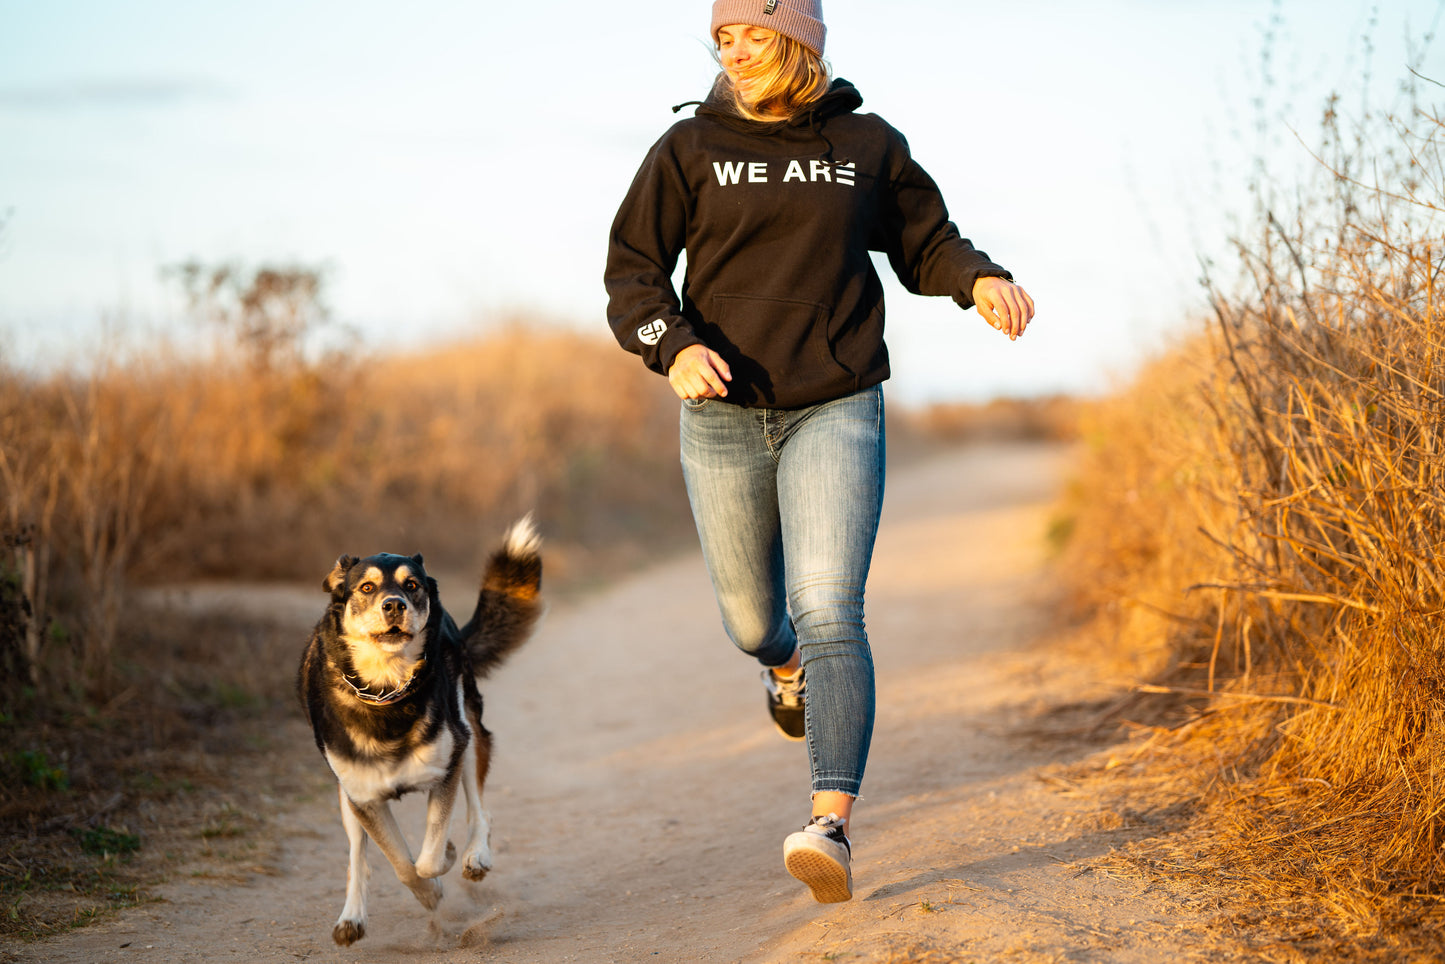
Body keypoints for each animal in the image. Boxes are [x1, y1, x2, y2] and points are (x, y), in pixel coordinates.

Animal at [297, 517, 543, 948]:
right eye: (367, 588)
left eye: (412, 585)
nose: (394, 604)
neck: (385, 688)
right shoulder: (363, 797)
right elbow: (400, 863)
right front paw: (427, 893)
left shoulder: (446, 767)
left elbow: (427, 858)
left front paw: (445, 859)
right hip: (346, 796)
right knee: (357, 857)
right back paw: (351, 917)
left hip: (468, 733)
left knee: (480, 809)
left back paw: (474, 855)